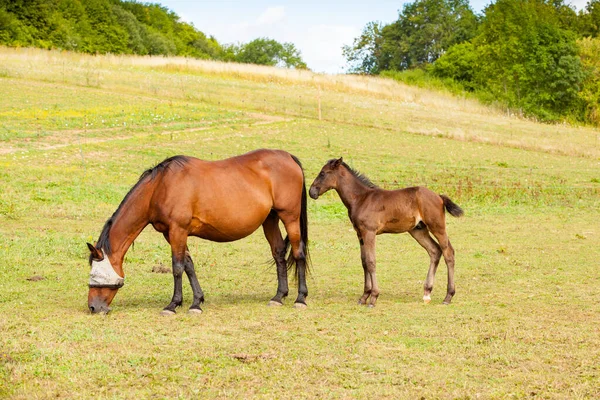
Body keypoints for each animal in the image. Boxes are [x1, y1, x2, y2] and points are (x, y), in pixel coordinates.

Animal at [86, 148, 310, 314]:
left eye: (95, 275)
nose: (93, 307)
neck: (160, 186)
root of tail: (288, 157)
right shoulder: (172, 234)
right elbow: (189, 266)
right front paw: (196, 302)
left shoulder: (178, 230)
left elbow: (177, 267)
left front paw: (173, 305)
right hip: (270, 219)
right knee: (279, 253)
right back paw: (278, 296)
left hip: (290, 217)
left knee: (298, 253)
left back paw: (300, 298)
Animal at [310, 157, 464, 306]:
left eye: (323, 173)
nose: (312, 192)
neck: (361, 198)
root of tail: (439, 196)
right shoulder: (360, 234)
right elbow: (364, 262)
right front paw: (364, 297)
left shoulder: (369, 232)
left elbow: (371, 261)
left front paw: (373, 298)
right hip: (418, 230)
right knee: (434, 251)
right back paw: (427, 293)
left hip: (437, 227)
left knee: (448, 252)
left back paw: (448, 297)